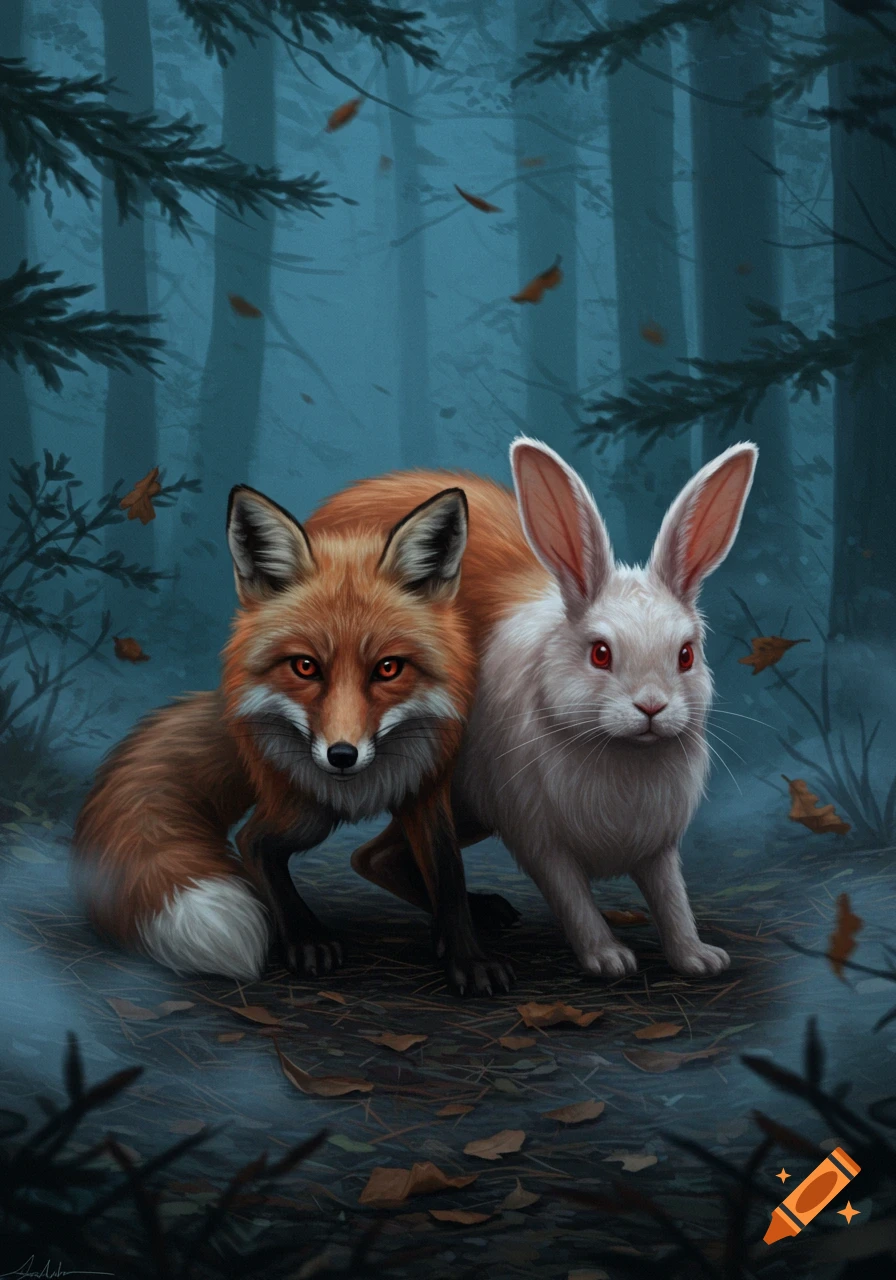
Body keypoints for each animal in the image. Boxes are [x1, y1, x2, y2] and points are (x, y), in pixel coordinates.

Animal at [72, 483, 515, 996]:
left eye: (388, 668)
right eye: (305, 666)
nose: (342, 755)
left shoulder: (428, 786)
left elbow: (447, 874)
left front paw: (466, 954)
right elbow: (258, 846)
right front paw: (307, 938)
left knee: (368, 857)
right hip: (307, 810)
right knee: (254, 840)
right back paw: (304, 935)